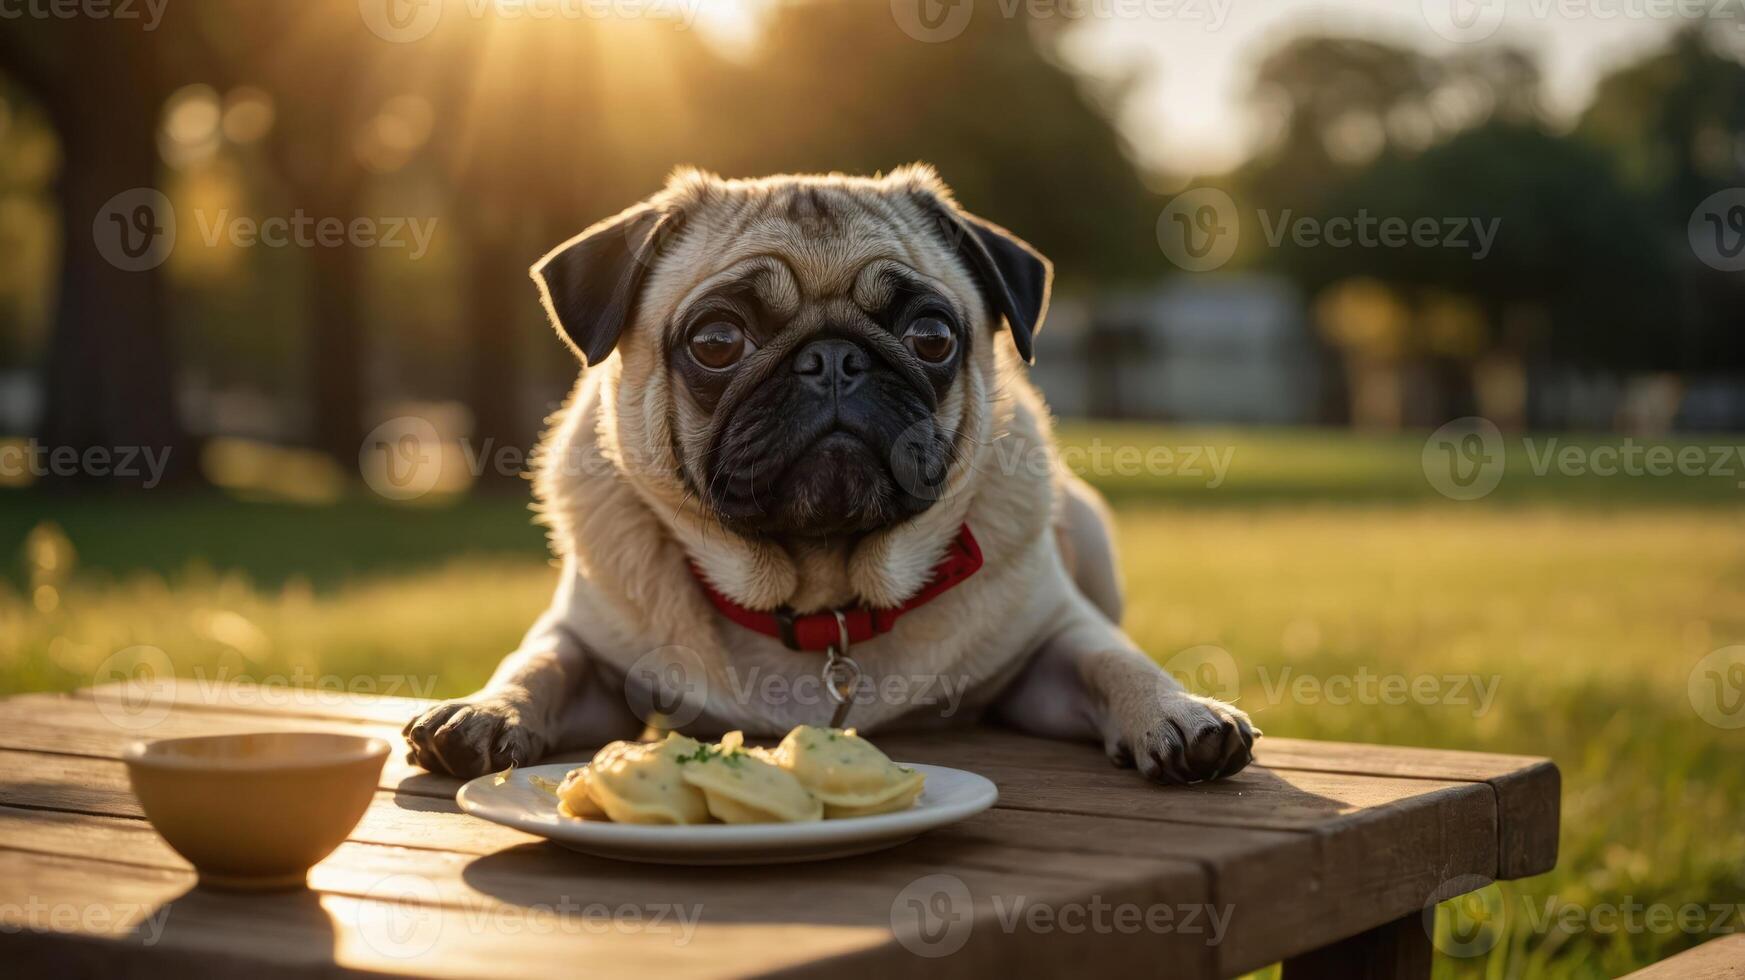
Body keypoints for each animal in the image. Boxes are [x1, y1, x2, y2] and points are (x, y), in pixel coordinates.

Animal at [408, 163, 1256, 781]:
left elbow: (1113, 661)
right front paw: (485, 710)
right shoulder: (587, 648)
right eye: (716, 341)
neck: (822, 603)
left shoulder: (1049, 643)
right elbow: (539, 663)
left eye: (930, 335)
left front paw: (1180, 711)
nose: (833, 360)